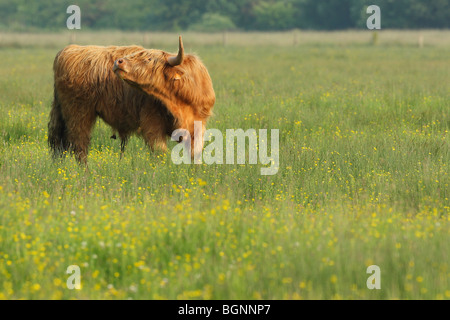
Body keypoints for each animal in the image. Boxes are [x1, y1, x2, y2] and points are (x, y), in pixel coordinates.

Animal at [48, 36, 215, 164]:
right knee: (79, 145)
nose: (118, 62)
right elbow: (159, 152)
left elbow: (194, 154)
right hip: (79, 113)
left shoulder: (198, 125)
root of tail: (68, 50)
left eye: (148, 59)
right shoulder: (152, 123)